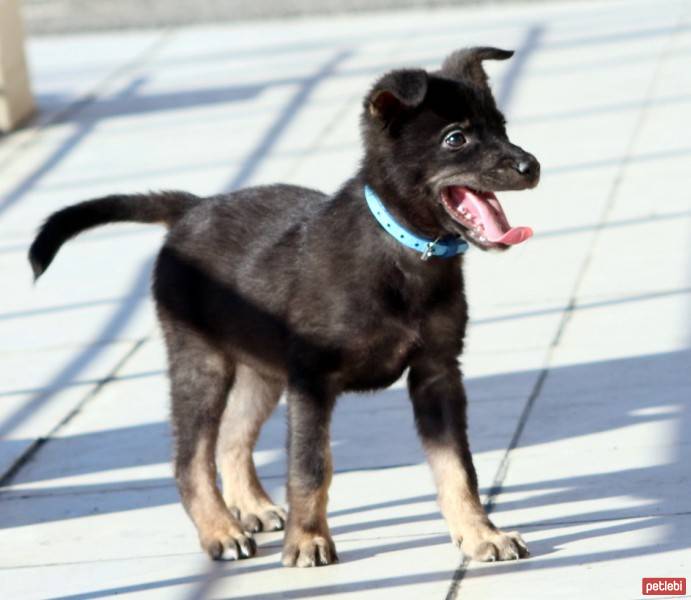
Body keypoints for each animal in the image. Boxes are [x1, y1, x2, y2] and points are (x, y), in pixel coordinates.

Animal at [29, 47, 540, 568]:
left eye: (501, 127)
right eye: (456, 139)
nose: (531, 167)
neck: (402, 248)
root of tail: (190, 209)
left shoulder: (437, 373)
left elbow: (458, 466)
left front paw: (480, 533)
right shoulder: (312, 380)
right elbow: (310, 466)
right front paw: (308, 540)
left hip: (263, 370)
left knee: (233, 438)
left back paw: (251, 507)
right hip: (202, 363)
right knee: (190, 458)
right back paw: (220, 530)